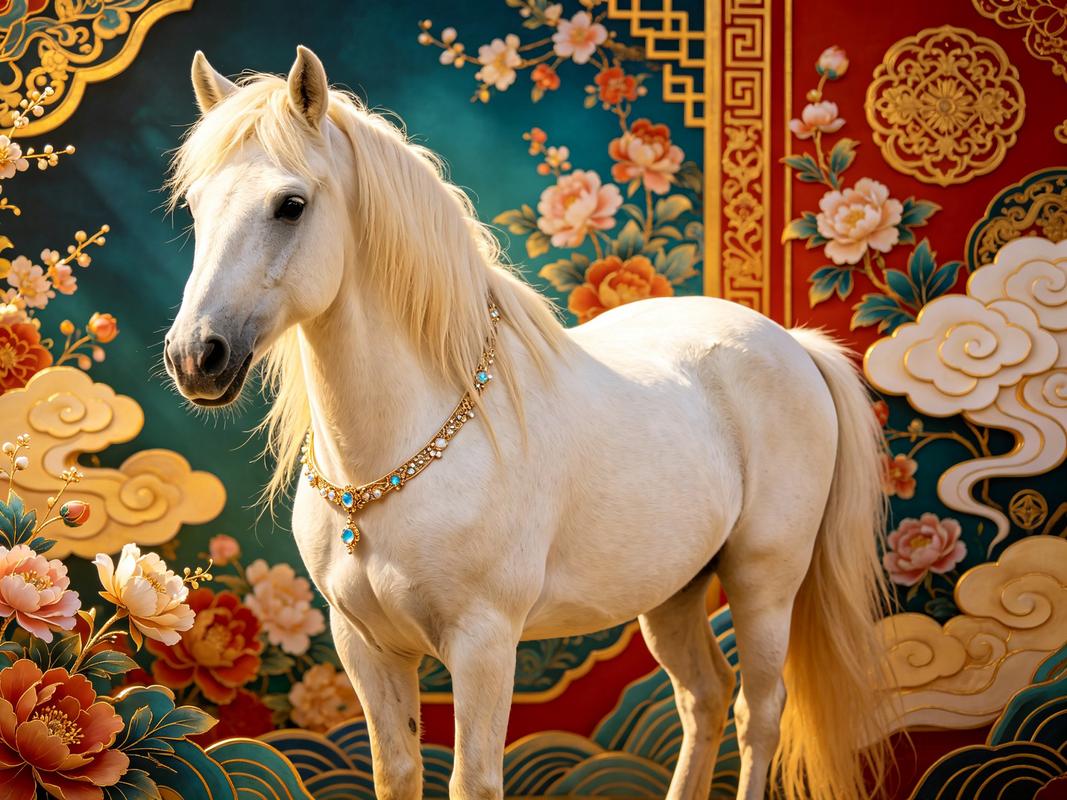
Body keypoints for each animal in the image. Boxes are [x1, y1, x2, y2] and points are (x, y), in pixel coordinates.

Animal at [163, 46, 892, 800]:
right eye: (195, 206)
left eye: (291, 205)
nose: (196, 357)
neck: (399, 457)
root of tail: (793, 345)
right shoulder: (365, 647)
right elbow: (397, 772)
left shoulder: (483, 644)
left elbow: (474, 779)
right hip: (674, 591)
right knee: (705, 697)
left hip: (763, 580)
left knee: (759, 710)